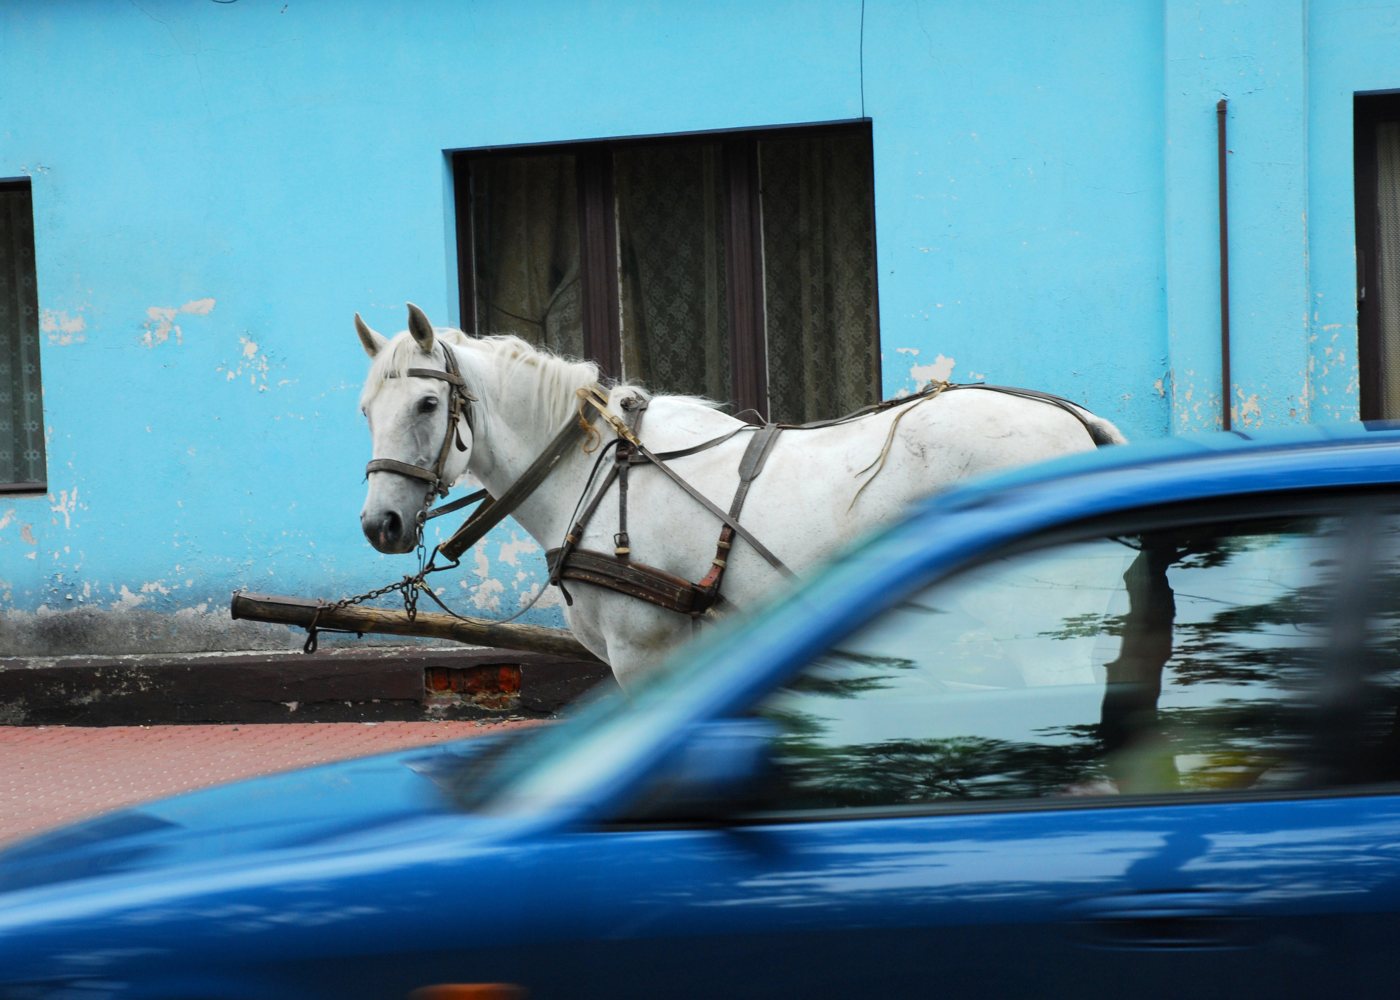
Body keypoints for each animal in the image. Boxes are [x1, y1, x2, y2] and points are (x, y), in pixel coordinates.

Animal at [352, 302, 1125, 686]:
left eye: (427, 404)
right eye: (365, 410)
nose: (379, 523)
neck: (594, 474)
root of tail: (1074, 422)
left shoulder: (645, 653)